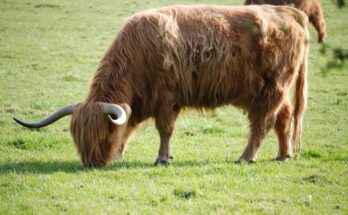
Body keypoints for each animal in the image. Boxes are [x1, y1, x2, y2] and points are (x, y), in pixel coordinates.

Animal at [12, 4, 310, 166]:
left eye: (102, 135)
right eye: (77, 138)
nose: (91, 163)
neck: (137, 51)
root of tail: (289, 11)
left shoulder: (167, 98)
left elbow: (164, 130)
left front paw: (162, 158)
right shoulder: (140, 100)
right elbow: (129, 125)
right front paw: (120, 153)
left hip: (272, 88)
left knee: (262, 124)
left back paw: (246, 157)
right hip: (273, 91)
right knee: (283, 118)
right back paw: (283, 155)